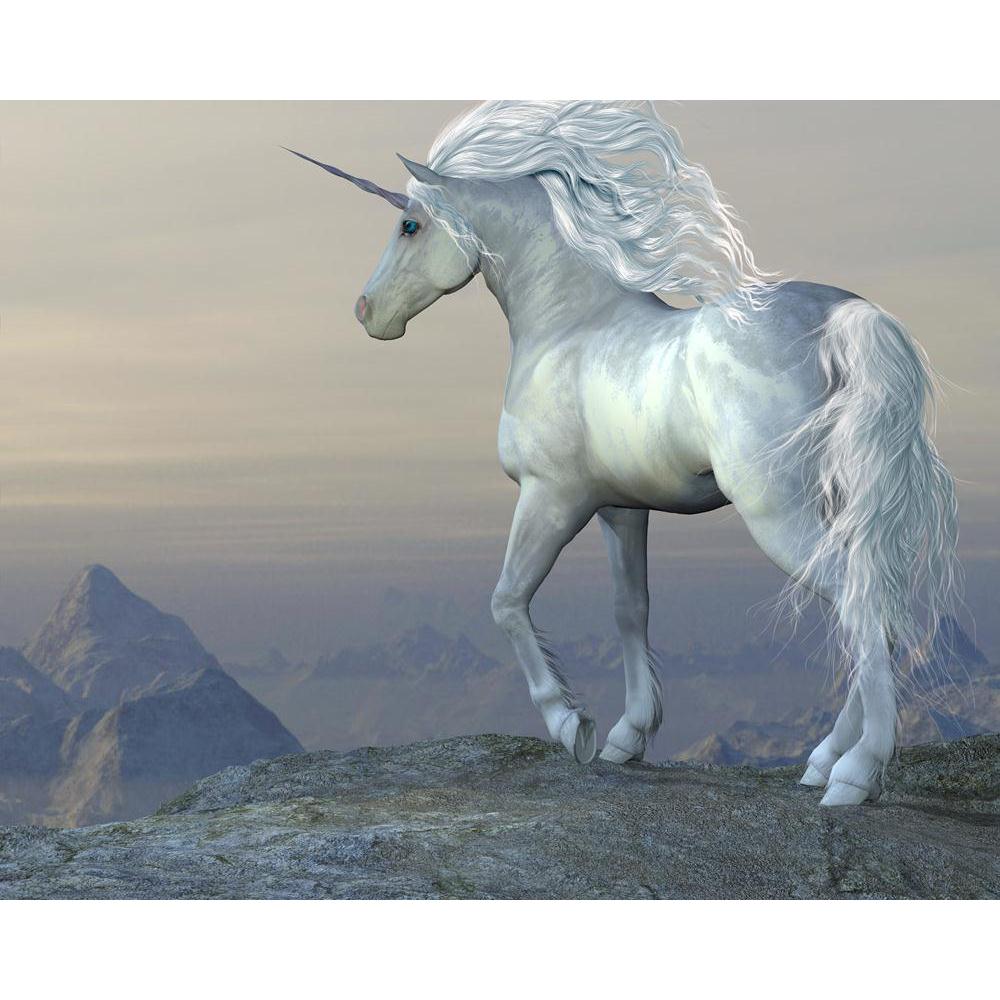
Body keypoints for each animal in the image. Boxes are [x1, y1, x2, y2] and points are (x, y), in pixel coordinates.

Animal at [288, 101, 959, 806]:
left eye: (409, 224)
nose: (367, 311)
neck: (571, 326)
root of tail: (839, 320)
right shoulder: (621, 507)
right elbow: (630, 611)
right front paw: (626, 738)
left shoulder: (553, 497)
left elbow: (507, 600)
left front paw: (571, 726)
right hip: (837, 504)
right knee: (876, 604)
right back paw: (825, 759)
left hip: (778, 512)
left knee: (860, 601)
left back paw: (855, 774)